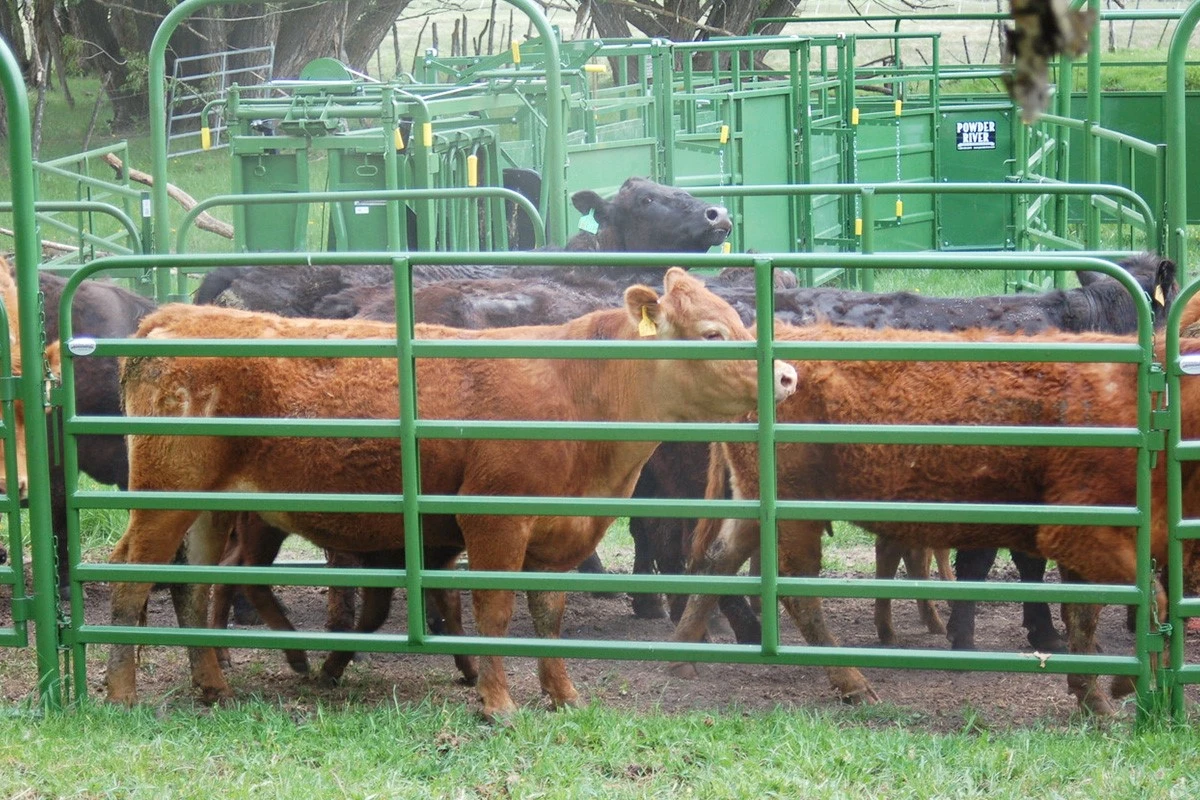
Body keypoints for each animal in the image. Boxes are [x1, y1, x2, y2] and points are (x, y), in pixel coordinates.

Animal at [104, 268, 798, 720]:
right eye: (712, 333)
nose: (789, 375)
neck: (579, 388)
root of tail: (173, 317)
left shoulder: (558, 536)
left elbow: (549, 618)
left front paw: (564, 695)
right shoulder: (494, 523)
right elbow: (493, 612)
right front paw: (497, 703)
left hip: (208, 508)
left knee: (194, 586)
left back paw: (213, 686)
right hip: (165, 496)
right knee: (132, 576)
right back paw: (122, 693)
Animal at [670, 322, 1199, 716]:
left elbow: (1085, 619)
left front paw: (1094, 698)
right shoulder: (1081, 533)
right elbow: (1149, 601)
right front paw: (1120, 690)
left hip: (756, 506)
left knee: (717, 561)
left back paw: (681, 659)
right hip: (793, 515)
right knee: (797, 594)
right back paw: (853, 684)